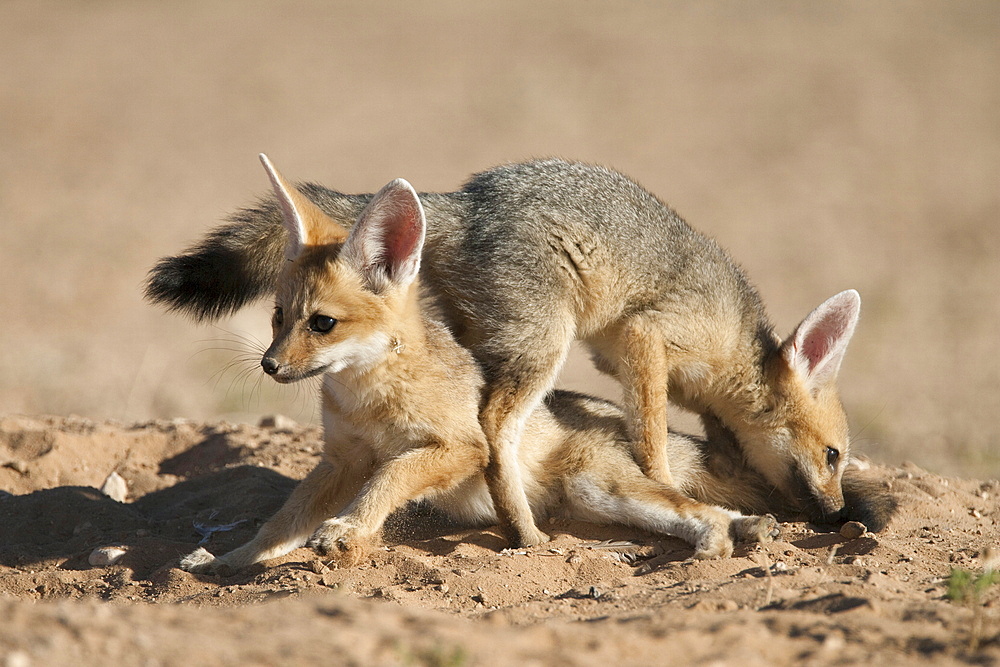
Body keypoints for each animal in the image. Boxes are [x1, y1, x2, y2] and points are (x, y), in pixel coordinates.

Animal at [150, 157, 868, 548]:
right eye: (833, 455)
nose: (836, 513)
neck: (739, 350)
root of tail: (464, 202)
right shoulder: (647, 339)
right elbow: (654, 441)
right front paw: (666, 479)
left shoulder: (634, 368)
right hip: (544, 344)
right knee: (495, 427)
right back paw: (523, 529)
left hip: (499, 341)